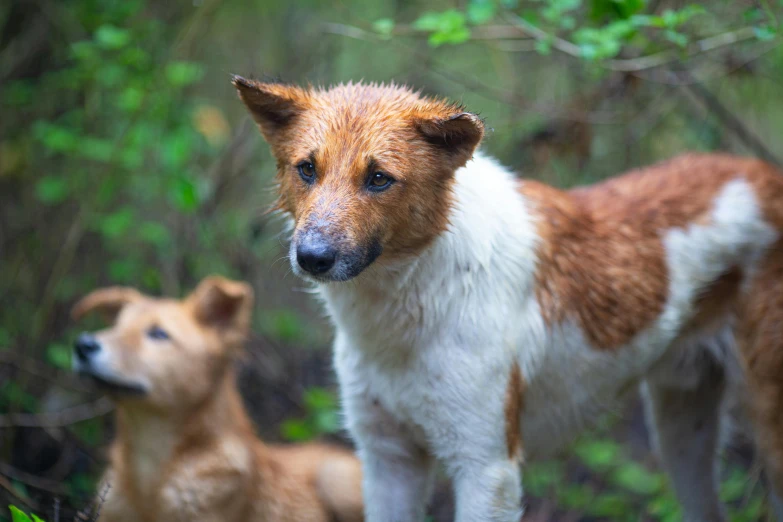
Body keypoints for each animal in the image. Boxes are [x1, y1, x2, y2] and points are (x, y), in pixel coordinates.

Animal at [236, 77, 783, 520]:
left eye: (378, 178)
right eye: (307, 170)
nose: (312, 257)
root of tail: (764, 173)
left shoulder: (485, 469)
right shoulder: (388, 460)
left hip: (763, 428)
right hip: (681, 431)